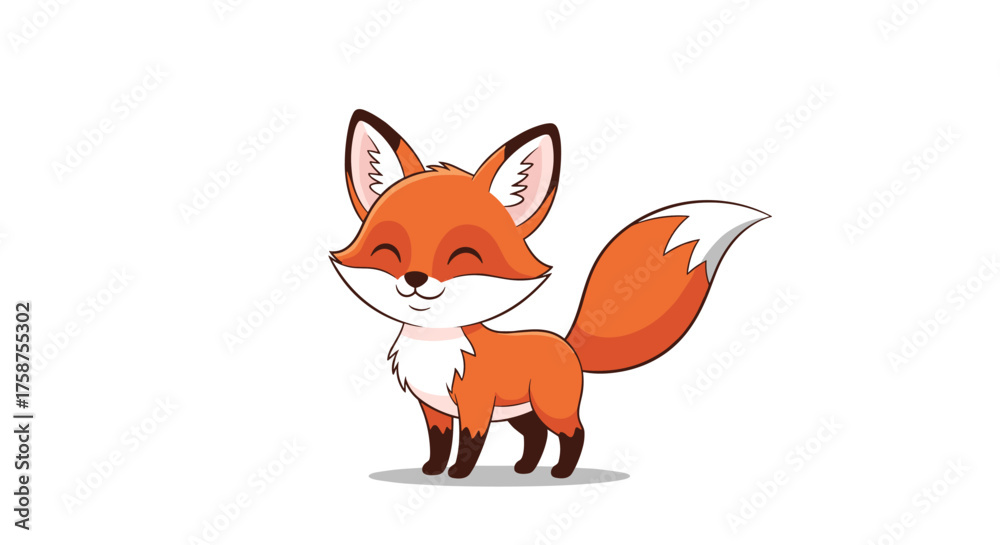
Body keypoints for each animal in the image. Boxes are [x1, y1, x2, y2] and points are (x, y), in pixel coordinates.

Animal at [330, 109, 767, 479]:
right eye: (388, 252)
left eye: (464, 256)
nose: (416, 278)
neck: (436, 346)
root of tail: (567, 344)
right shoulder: (432, 407)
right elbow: (439, 443)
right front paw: (433, 471)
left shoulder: (475, 403)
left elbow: (470, 443)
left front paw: (458, 474)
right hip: (522, 412)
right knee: (535, 436)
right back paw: (525, 468)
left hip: (550, 407)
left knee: (574, 432)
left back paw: (561, 472)